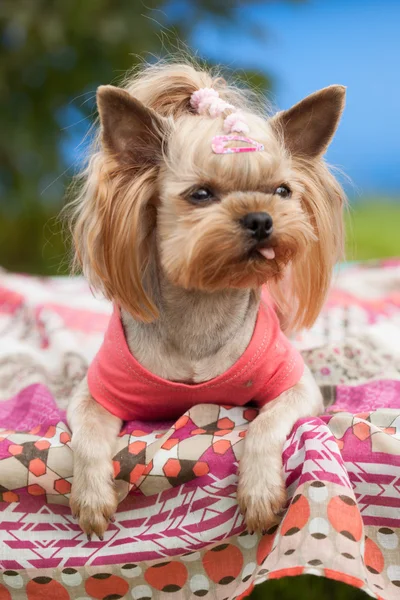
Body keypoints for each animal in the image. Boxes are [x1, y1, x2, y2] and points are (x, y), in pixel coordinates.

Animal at [67, 59, 346, 540]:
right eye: (200, 194)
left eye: (283, 191)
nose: (261, 218)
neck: (204, 302)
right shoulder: (94, 392)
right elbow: (85, 432)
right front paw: (91, 498)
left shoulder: (297, 386)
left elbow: (266, 424)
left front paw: (259, 492)